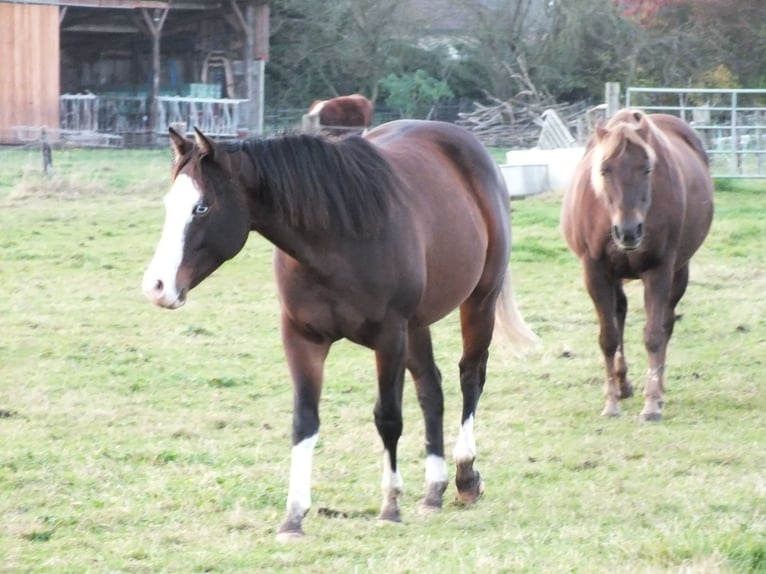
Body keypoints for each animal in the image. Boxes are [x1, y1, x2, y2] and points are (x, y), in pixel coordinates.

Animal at [144, 120, 540, 540]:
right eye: (170, 205)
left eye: (201, 207)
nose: (156, 286)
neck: (335, 241)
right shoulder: (302, 338)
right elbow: (304, 421)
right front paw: (293, 517)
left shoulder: (389, 336)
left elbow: (388, 417)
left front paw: (390, 504)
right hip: (417, 326)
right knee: (431, 389)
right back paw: (434, 489)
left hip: (479, 301)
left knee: (471, 377)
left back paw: (466, 477)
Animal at [560, 109, 716, 424]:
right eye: (604, 169)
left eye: (647, 169)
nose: (628, 232)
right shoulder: (596, 273)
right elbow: (608, 337)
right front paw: (610, 403)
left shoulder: (658, 270)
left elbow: (654, 335)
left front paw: (652, 403)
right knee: (619, 314)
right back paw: (623, 385)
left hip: (679, 271)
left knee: (666, 324)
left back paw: (658, 388)